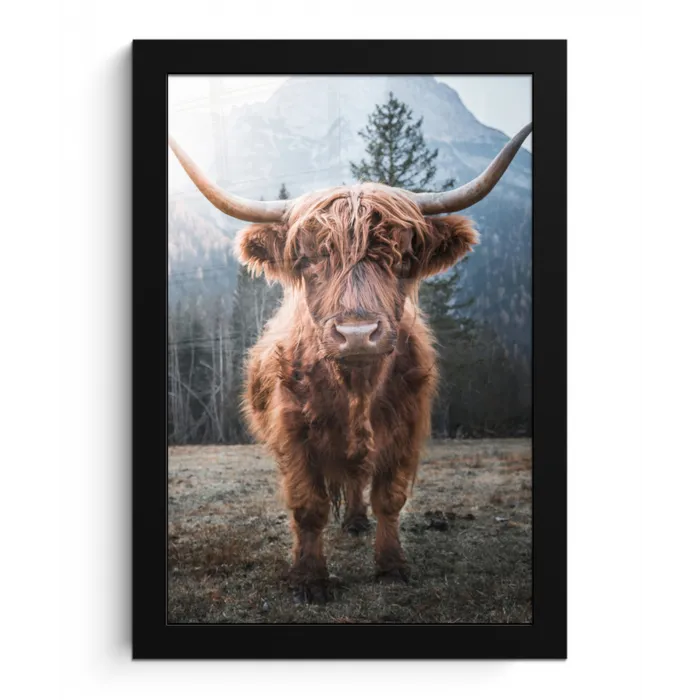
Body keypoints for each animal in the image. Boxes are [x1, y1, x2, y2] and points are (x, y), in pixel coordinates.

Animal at [169, 123, 532, 602]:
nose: (357, 333)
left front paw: (392, 565)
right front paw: (310, 578)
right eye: (307, 259)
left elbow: (389, 499)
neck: (356, 387)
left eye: (401, 258)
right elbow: (309, 506)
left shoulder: (406, 428)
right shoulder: (293, 433)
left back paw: (358, 521)